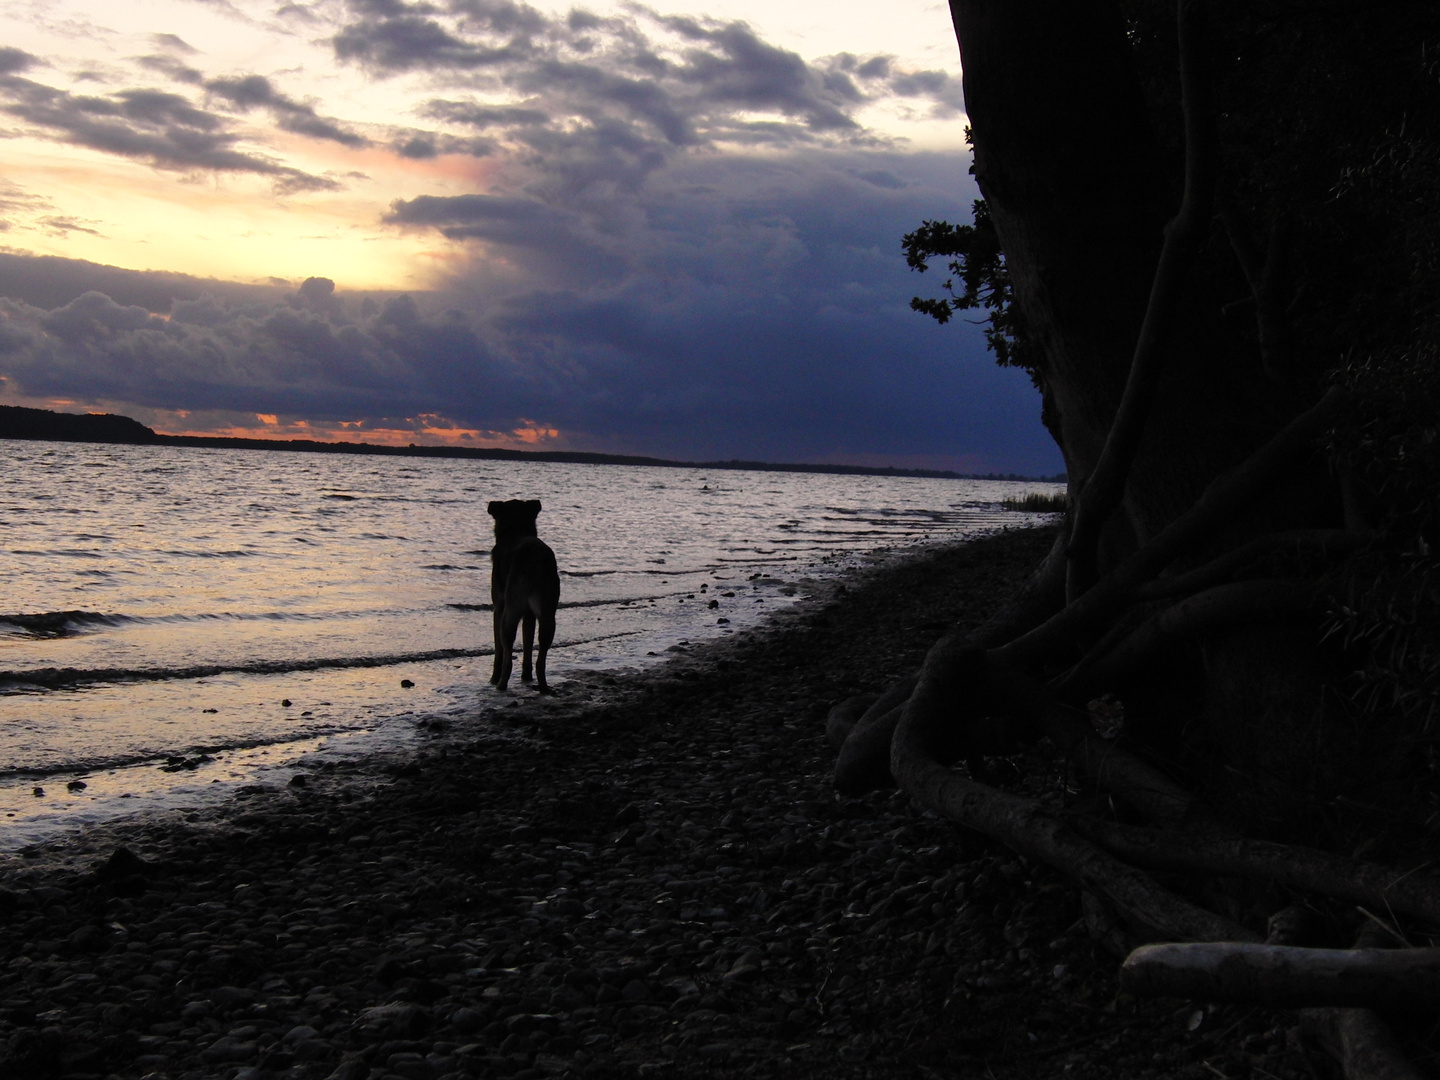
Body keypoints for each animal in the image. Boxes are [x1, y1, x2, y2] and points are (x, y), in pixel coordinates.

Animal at [486, 498, 558, 694]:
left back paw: (501, 684)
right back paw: (543, 685)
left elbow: (498, 649)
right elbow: (527, 641)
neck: (516, 530)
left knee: (507, 652)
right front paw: (526, 675)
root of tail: (535, 559)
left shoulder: (498, 609)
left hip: (510, 611)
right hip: (548, 614)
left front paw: (493, 677)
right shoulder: (530, 614)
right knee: (541, 657)